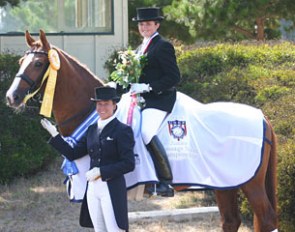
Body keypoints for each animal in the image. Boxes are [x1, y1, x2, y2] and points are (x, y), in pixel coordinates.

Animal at [5, 30, 280, 232]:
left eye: (38, 63)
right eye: (20, 62)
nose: (11, 97)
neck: (94, 115)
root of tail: (263, 117)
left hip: (251, 183)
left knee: (266, 218)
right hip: (226, 183)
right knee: (231, 221)